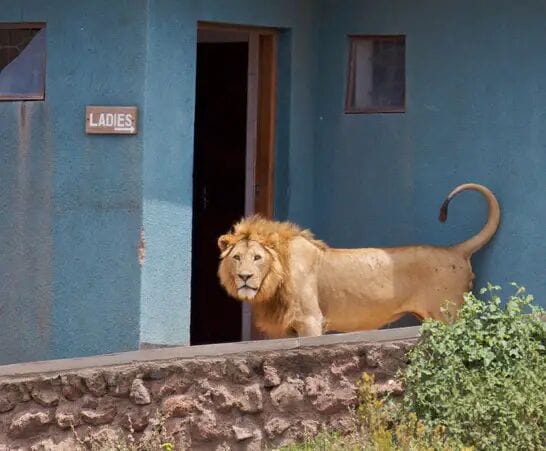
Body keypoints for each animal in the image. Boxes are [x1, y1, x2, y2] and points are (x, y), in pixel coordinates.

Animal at [216, 184, 498, 340]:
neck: (276, 279)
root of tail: (455, 250)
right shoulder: (286, 329)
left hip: (448, 314)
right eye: (237, 258)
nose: (244, 277)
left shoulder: (310, 320)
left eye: (257, 258)